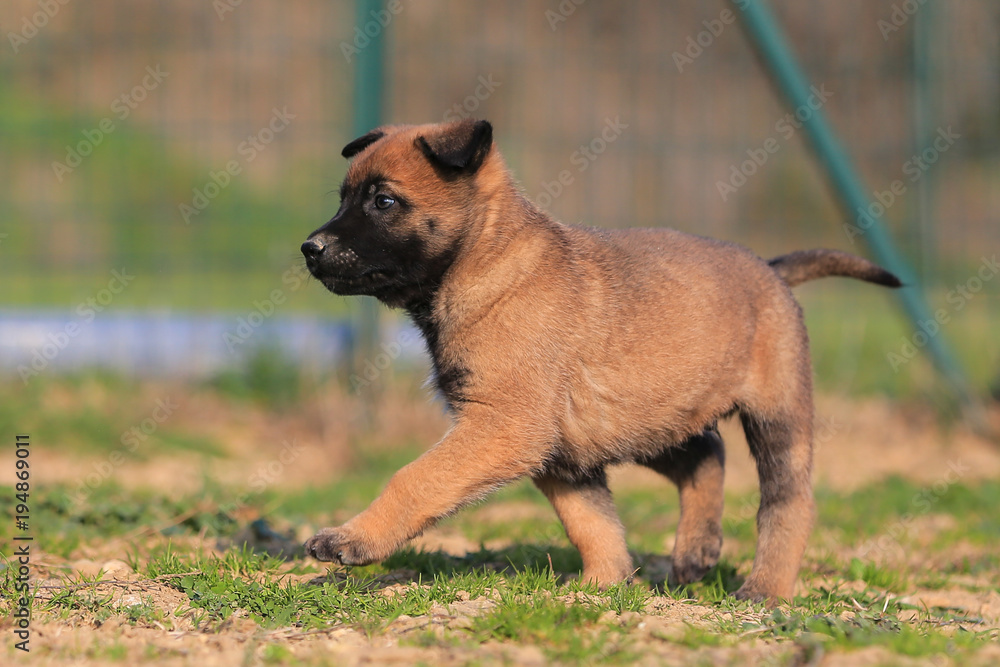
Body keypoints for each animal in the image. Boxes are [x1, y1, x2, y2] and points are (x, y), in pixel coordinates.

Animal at [296, 120, 900, 604]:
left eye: (384, 202)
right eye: (344, 198)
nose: (310, 248)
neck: (487, 264)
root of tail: (771, 270)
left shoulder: (503, 426)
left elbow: (416, 478)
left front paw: (353, 539)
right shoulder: (555, 449)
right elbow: (589, 520)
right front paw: (603, 584)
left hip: (775, 419)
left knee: (787, 502)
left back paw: (765, 589)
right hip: (644, 418)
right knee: (706, 454)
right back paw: (696, 550)